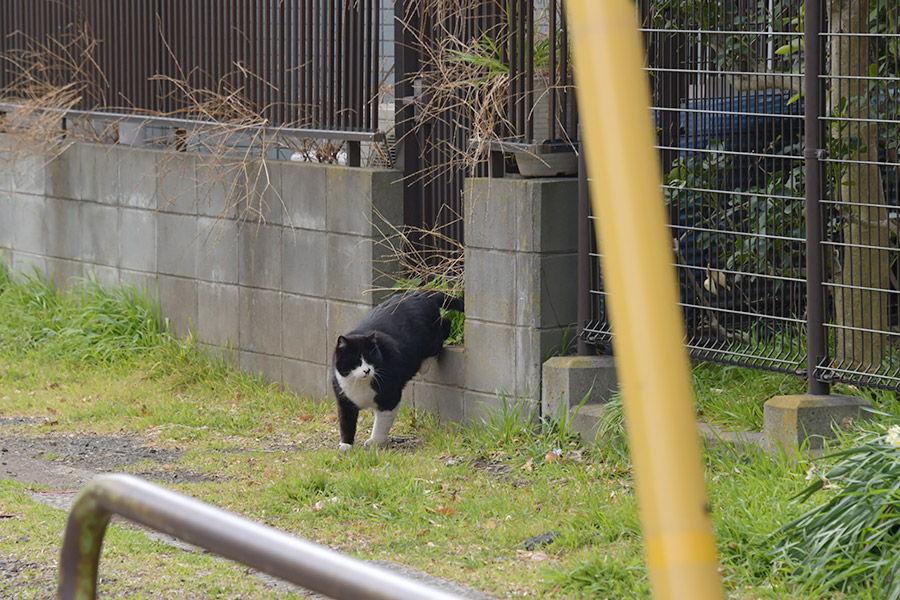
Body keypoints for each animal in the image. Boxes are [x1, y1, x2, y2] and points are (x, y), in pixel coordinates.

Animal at [334, 290, 468, 450]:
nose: (367, 370)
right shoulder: (344, 400)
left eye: (371, 359)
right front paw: (345, 445)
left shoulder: (389, 397)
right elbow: (346, 423)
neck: (360, 386)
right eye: (356, 362)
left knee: (444, 327)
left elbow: (381, 424)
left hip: (428, 335)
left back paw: (424, 365)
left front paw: (375, 441)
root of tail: (419, 293)